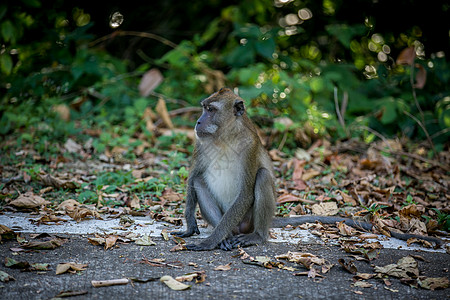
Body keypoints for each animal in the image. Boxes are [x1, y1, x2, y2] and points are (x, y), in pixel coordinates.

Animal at [172, 88, 442, 250]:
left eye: (211, 110)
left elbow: (247, 191)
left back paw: (255, 236)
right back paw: (226, 237)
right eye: (204, 107)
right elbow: (194, 176)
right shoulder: (200, 143)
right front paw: (192, 225)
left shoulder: (249, 146)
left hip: (246, 220)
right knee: (200, 184)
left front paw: (210, 241)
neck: (225, 137)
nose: (198, 121)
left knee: (261, 178)